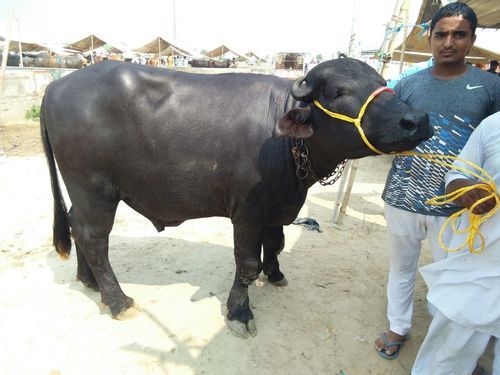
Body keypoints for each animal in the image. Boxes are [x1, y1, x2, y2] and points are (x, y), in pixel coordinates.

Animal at [41, 58, 432, 338]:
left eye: (382, 83)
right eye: (337, 91)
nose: (417, 119)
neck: (286, 143)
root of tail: (56, 86)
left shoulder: (278, 206)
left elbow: (275, 244)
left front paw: (275, 274)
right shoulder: (247, 211)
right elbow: (247, 263)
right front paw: (240, 312)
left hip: (83, 192)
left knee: (76, 226)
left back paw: (88, 280)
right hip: (95, 189)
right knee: (94, 238)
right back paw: (117, 300)